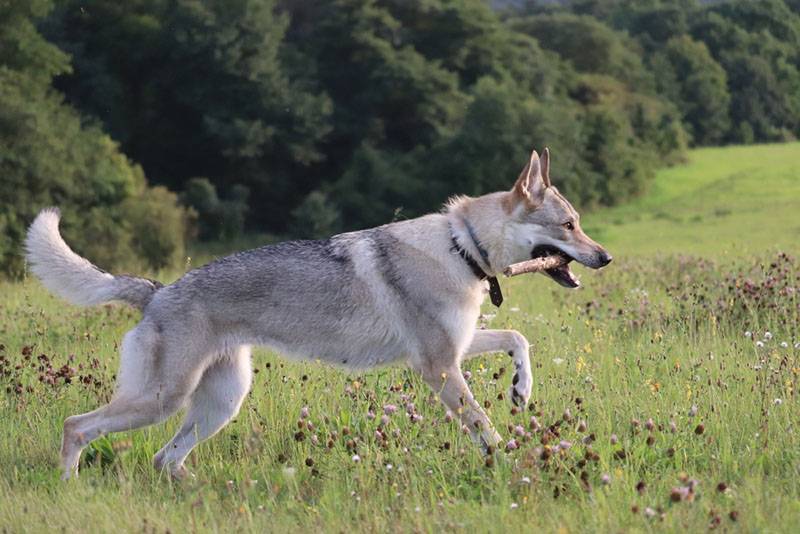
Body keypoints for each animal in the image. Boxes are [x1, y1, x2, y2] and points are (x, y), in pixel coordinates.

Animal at [26, 148, 612, 482]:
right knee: (77, 426)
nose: (605, 257)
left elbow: (519, 339)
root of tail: (156, 291)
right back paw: (69, 487)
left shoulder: (457, 348)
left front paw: (521, 390)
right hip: (161, 401)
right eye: (569, 224)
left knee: (164, 460)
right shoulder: (439, 367)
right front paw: (510, 461)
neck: (461, 246)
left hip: (219, 403)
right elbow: (483, 426)